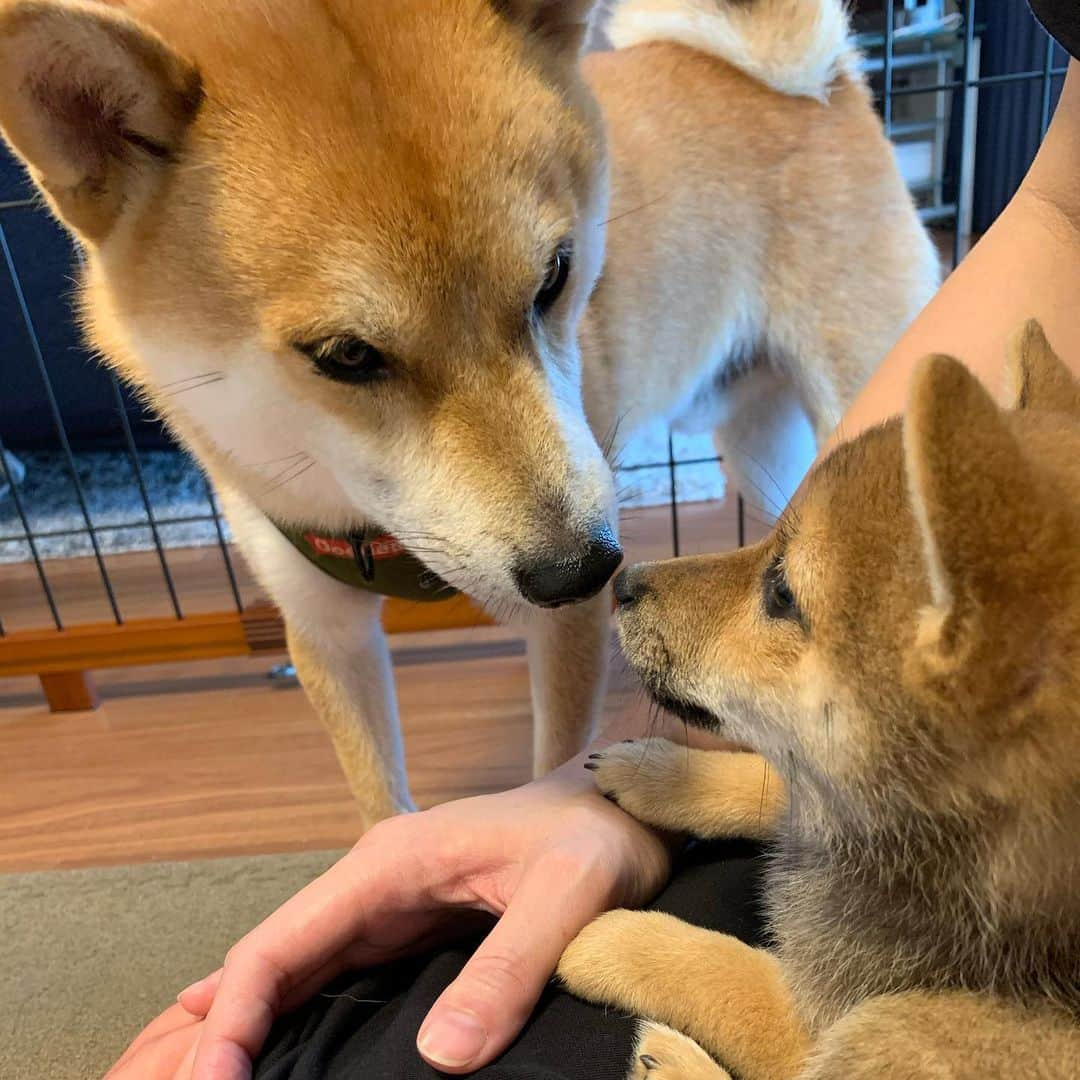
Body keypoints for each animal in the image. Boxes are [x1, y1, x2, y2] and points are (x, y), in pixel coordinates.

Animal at [0, 0, 937, 825]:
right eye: (346, 355)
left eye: (556, 275)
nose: (583, 568)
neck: (369, 527)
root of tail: (830, 84)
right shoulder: (322, 626)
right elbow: (377, 798)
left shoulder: (568, 627)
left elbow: (555, 759)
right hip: (758, 445)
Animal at [557, 319, 1080, 1080]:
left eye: (782, 592)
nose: (624, 582)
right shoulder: (830, 797)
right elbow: (774, 779)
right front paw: (661, 774)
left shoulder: (821, 1016)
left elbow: (720, 970)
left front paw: (613, 940)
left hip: (895, 1029)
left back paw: (670, 1061)